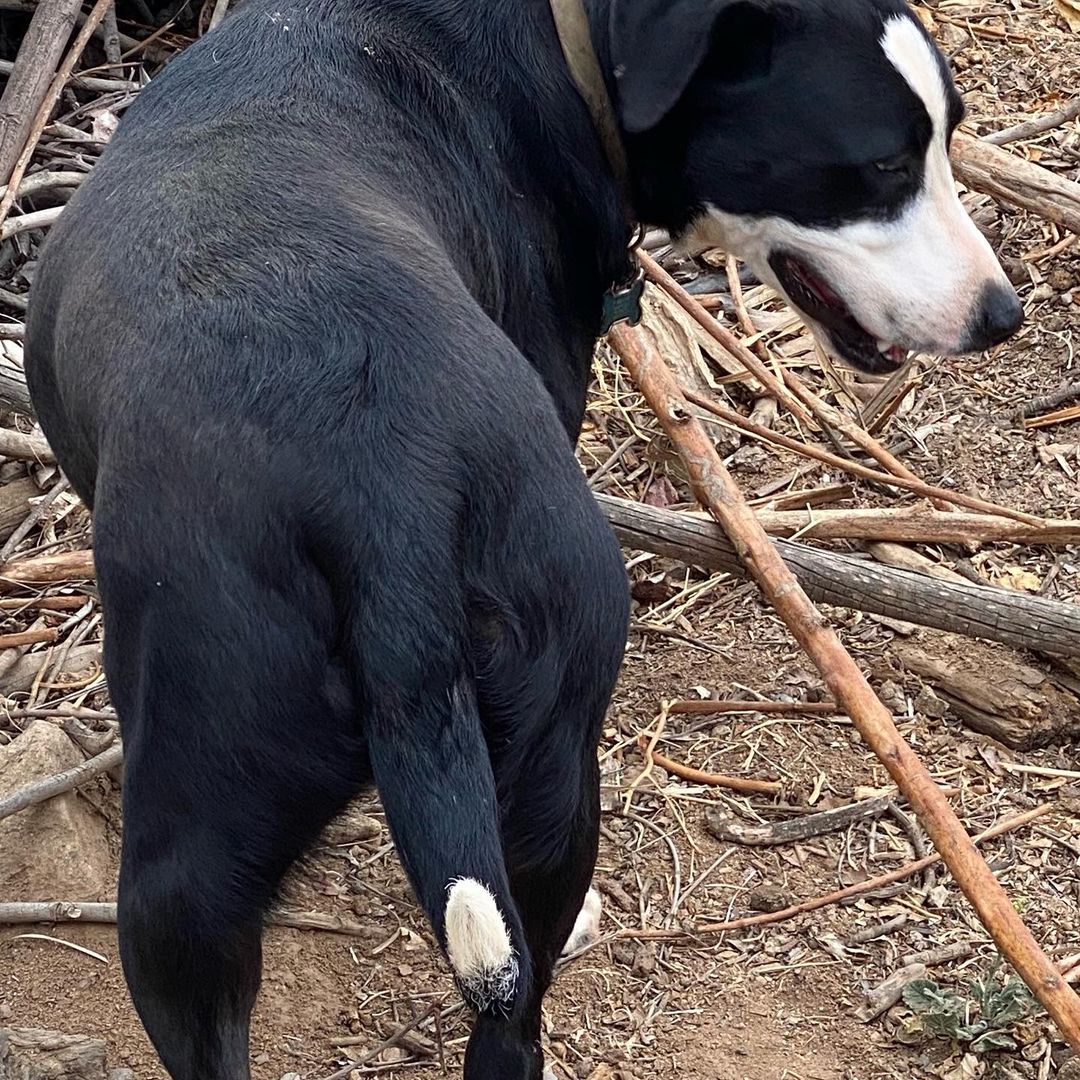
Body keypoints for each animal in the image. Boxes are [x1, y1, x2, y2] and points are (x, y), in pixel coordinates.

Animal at [23, 2, 1019, 1080]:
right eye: (882, 166)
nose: (1002, 315)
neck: (555, 45)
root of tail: (383, 502)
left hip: (207, 838)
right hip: (546, 734)